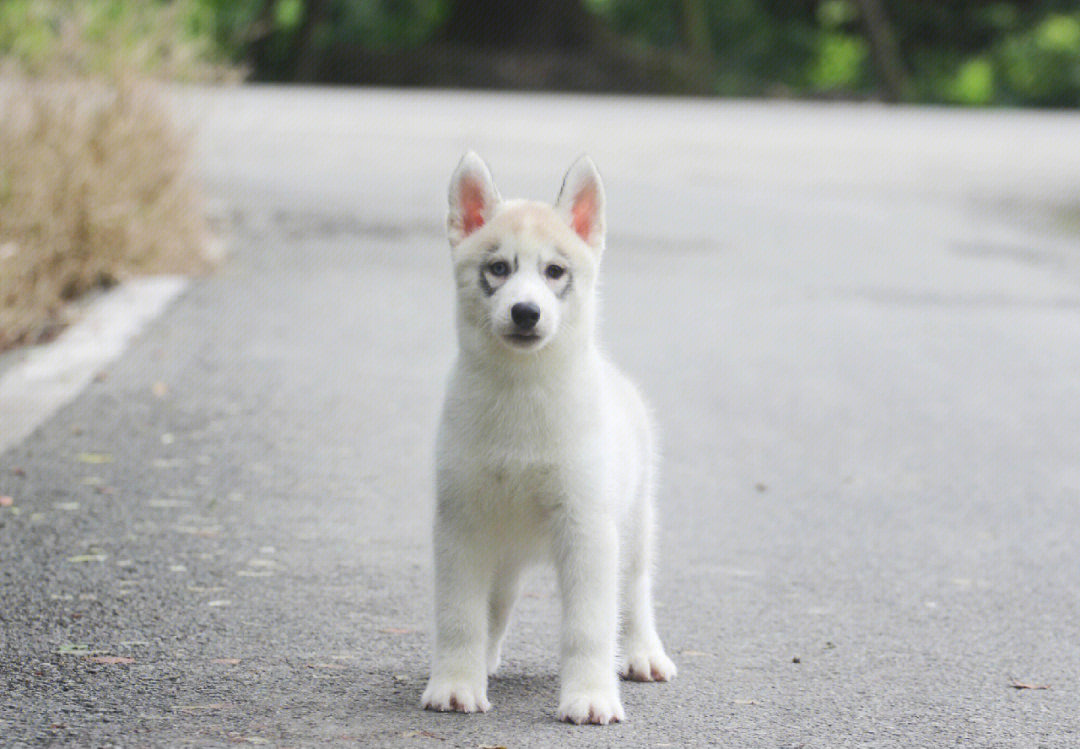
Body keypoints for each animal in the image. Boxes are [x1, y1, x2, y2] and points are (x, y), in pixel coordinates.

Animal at [421, 154, 673, 729]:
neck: (521, 392)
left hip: (633, 528)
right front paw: (455, 684)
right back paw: (486, 662)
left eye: (554, 272)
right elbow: (459, 617)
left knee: (636, 594)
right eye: (498, 268)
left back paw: (643, 654)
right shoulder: (460, 524)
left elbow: (588, 628)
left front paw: (590, 696)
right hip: (503, 551)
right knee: (496, 607)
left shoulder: (588, 529)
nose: (525, 313)